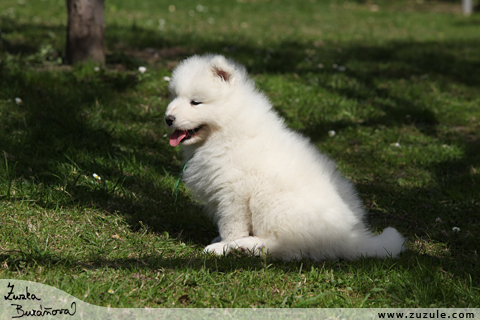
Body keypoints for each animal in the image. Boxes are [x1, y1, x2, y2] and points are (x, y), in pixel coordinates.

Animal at [165, 54, 404, 260]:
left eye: (195, 102)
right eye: (175, 96)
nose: (168, 118)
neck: (227, 129)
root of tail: (351, 238)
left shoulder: (234, 193)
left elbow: (231, 225)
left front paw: (222, 246)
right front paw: (221, 241)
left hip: (274, 204)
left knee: (288, 246)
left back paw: (247, 246)